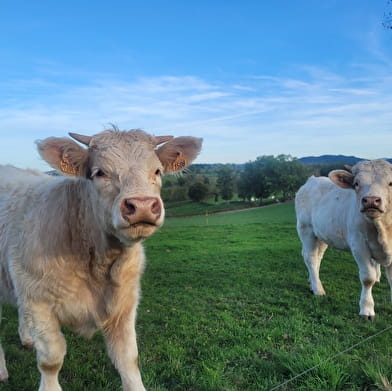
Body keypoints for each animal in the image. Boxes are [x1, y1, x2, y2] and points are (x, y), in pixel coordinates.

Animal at [298, 161, 392, 320]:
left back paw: (313, 281)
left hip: (322, 235)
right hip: (306, 229)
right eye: (356, 183)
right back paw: (318, 289)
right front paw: (366, 310)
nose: (371, 200)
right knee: (310, 257)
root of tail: (312, 180)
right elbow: (368, 278)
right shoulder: (359, 245)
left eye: (391, 183)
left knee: (317, 258)